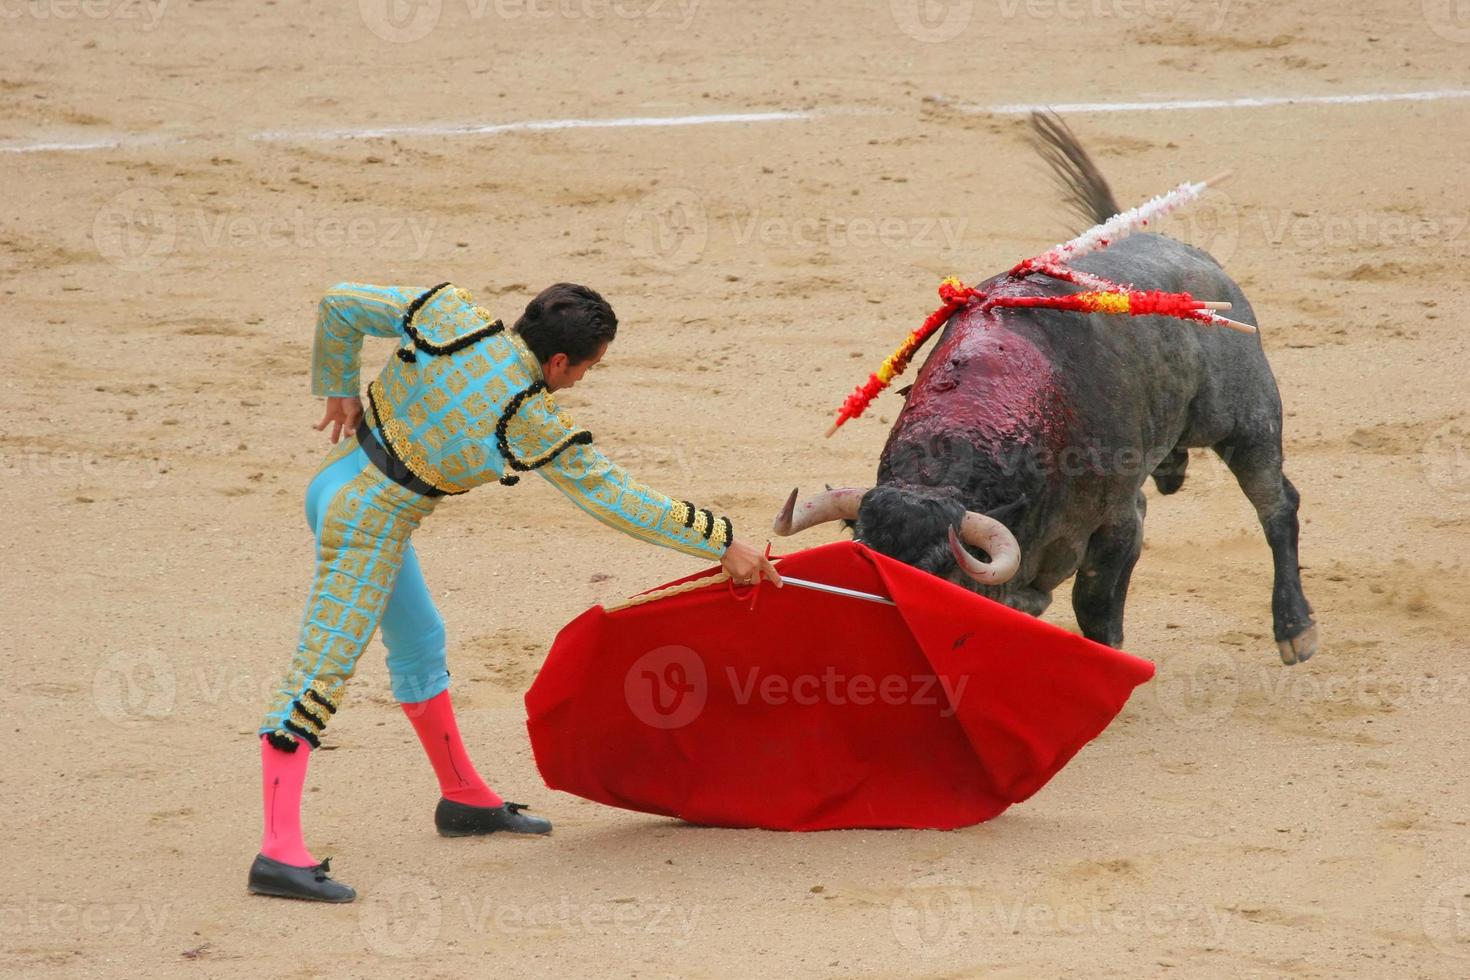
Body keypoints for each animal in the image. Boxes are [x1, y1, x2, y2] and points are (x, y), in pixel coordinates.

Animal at [782, 113, 1323, 667]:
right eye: (861, 556)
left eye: (939, 570)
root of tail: (1199, 262)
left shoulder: (1115, 522)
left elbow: (1094, 605)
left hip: (1245, 419)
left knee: (1276, 502)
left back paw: (1295, 629)